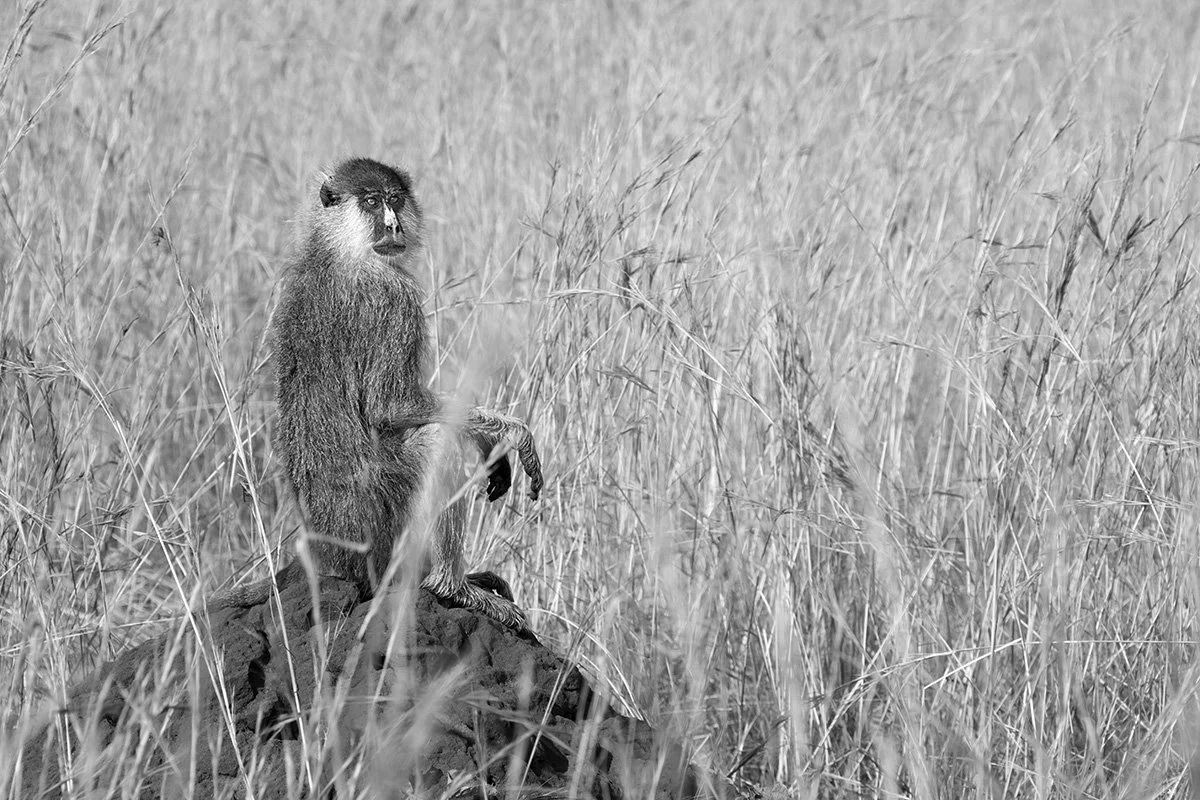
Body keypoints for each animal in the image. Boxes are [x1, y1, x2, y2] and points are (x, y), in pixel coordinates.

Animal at [271, 157, 542, 632]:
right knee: (436, 443)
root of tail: (329, 559)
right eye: (371, 202)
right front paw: (506, 433)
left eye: (395, 199)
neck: (339, 248)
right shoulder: (395, 296)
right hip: (378, 542)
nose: (392, 224)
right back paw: (452, 588)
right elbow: (392, 407)